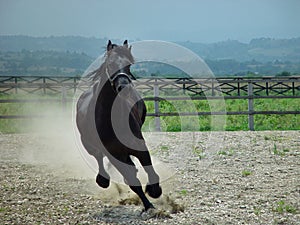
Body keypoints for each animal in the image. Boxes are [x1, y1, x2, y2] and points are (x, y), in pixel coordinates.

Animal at [76, 40, 163, 211]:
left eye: (129, 65)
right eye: (110, 64)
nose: (124, 87)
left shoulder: (139, 146)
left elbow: (150, 170)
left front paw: (154, 191)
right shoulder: (114, 154)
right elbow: (133, 182)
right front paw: (148, 205)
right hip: (89, 144)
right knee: (98, 158)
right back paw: (103, 179)